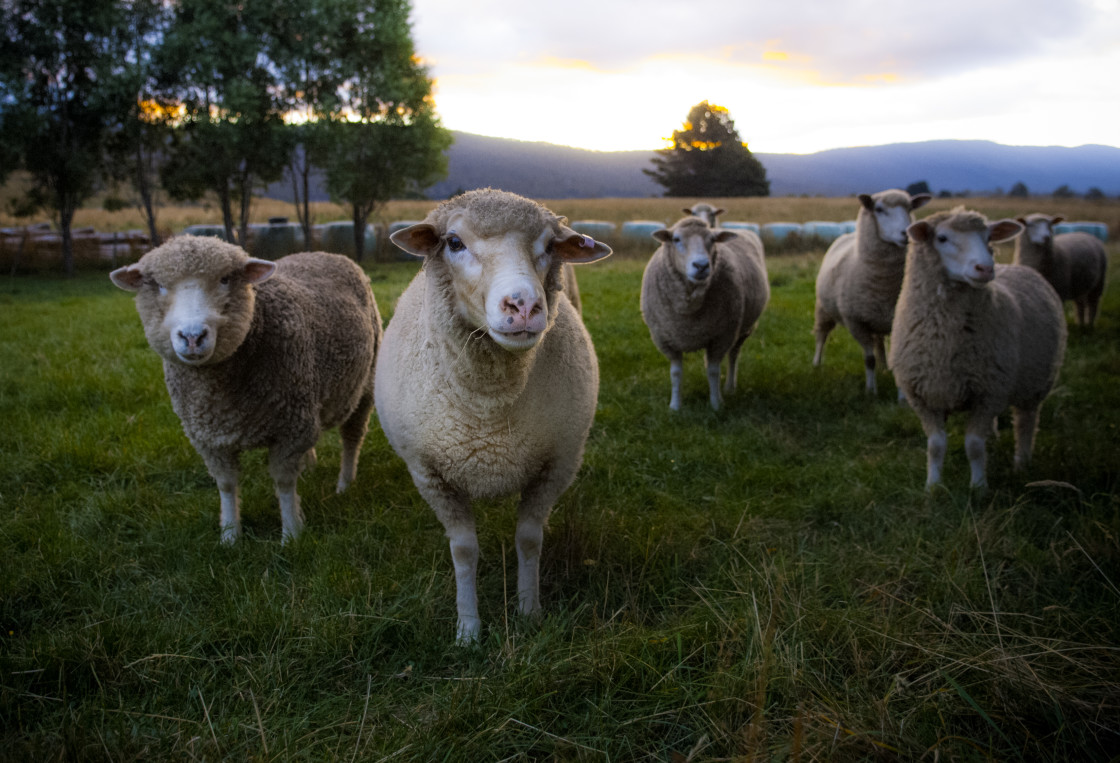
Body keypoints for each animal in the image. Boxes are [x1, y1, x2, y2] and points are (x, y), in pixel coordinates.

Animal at [110, 236, 380, 542]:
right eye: (158, 285)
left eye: (225, 279)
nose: (192, 337)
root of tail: (319, 252)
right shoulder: (210, 439)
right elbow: (227, 485)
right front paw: (229, 535)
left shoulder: (290, 428)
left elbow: (284, 483)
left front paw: (291, 533)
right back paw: (309, 466)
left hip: (364, 386)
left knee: (352, 438)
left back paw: (345, 484)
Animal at [371, 187, 609, 640]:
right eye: (454, 243)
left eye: (549, 246)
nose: (523, 304)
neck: (490, 409)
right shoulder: (431, 475)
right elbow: (464, 551)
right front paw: (468, 629)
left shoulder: (555, 465)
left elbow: (529, 540)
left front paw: (529, 611)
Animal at [640, 213, 770, 410]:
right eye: (676, 239)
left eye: (712, 240)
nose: (701, 266)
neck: (689, 310)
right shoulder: (666, 339)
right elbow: (676, 373)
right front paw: (675, 406)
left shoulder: (721, 337)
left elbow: (713, 371)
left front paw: (716, 404)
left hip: (743, 329)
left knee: (733, 355)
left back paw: (730, 387)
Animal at [810, 189, 931, 392]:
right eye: (879, 209)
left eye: (909, 208)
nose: (905, 233)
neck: (885, 286)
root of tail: (848, 234)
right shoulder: (856, 322)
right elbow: (869, 359)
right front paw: (871, 390)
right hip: (823, 309)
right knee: (821, 335)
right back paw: (816, 364)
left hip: (879, 319)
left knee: (879, 342)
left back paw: (885, 367)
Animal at [887, 207, 1061, 488]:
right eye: (942, 238)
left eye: (988, 237)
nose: (985, 268)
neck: (943, 340)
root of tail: (1017, 267)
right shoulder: (925, 397)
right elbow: (935, 445)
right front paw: (933, 487)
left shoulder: (988, 394)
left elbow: (974, 446)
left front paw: (979, 488)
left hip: (1035, 384)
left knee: (1026, 423)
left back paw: (1022, 464)